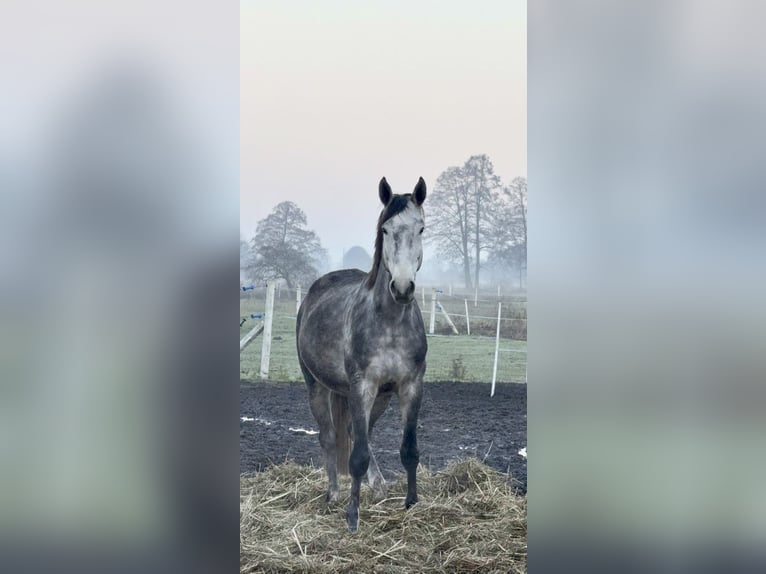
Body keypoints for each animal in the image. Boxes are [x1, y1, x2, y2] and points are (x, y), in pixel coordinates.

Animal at [296, 176, 428, 532]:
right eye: (385, 229)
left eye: (421, 228)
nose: (403, 287)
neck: (390, 324)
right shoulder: (361, 387)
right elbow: (355, 457)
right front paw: (352, 516)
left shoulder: (410, 387)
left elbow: (408, 450)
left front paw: (411, 504)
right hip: (317, 387)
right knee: (330, 437)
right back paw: (334, 494)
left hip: (380, 397)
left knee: (360, 434)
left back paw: (377, 486)